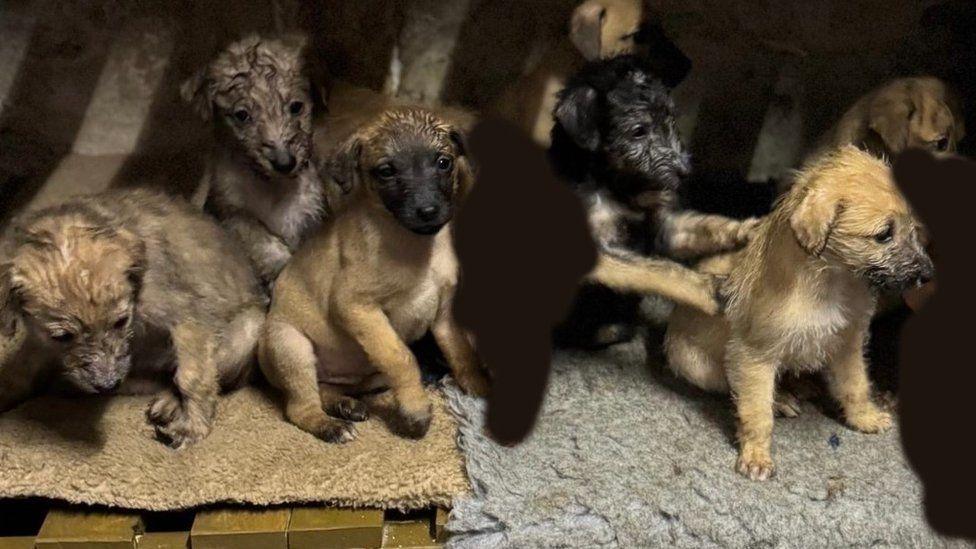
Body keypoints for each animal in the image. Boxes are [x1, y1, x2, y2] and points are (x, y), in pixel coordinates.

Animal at [0, 186, 264, 448]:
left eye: (120, 321)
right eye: (63, 336)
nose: (107, 385)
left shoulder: (188, 317)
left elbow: (193, 376)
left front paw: (193, 427)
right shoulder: (39, 342)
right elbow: (19, 373)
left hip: (248, 330)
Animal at [260, 109, 488, 444]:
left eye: (443, 162)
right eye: (386, 171)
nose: (428, 210)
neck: (417, 248)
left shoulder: (445, 314)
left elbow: (461, 352)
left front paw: (478, 387)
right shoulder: (357, 307)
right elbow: (402, 358)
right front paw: (416, 410)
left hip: (369, 374)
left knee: (326, 388)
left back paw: (344, 404)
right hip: (291, 345)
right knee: (300, 407)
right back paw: (330, 425)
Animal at [668, 147, 936, 480]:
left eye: (912, 228)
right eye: (884, 234)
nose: (928, 275)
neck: (832, 281)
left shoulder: (848, 343)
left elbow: (857, 385)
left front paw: (865, 417)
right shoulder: (753, 354)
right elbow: (756, 410)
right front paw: (756, 455)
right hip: (695, 365)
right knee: (735, 387)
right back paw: (782, 398)